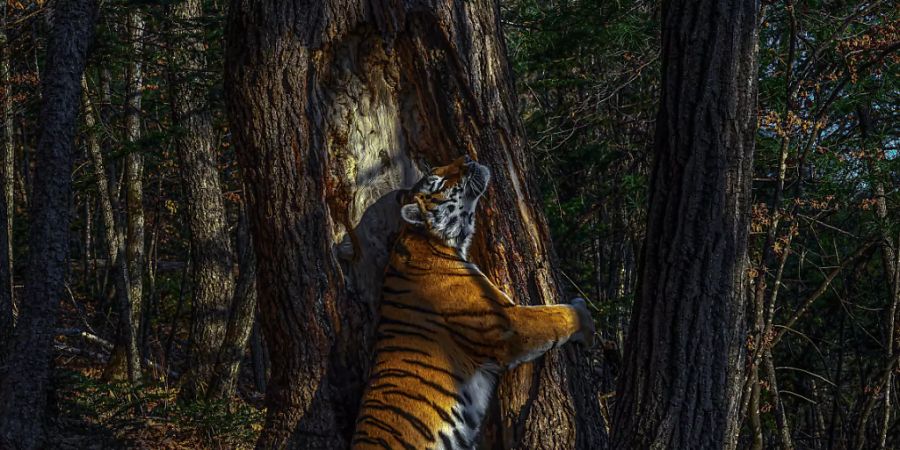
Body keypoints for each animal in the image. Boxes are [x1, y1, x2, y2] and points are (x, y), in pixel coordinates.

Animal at [354, 156, 596, 450]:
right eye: (440, 182)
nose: (467, 158)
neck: (428, 240)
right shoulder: (508, 325)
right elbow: (557, 316)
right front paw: (586, 320)